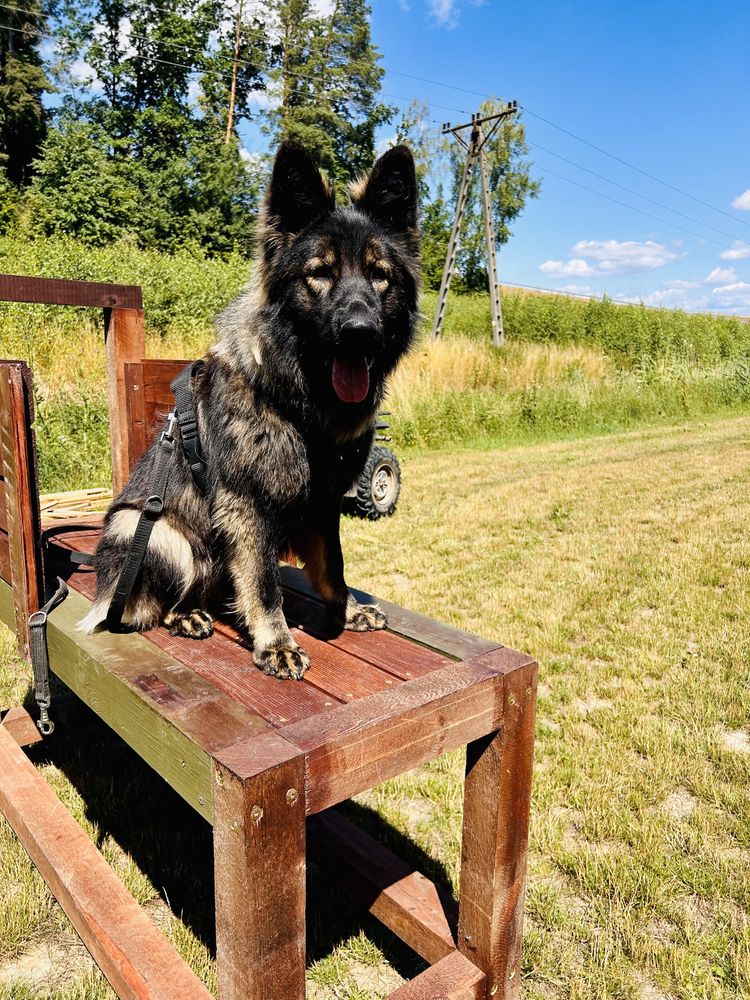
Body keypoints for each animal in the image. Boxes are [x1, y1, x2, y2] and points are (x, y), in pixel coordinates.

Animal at [83, 139, 424, 680]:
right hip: (155, 534)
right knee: (157, 604)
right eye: (320, 273)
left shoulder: (323, 502)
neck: (303, 411)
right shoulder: (247, 505)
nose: (361, 332)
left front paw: (347, 610)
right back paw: (187, 616)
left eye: (379, 276)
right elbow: (263, 582)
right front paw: (276, 643)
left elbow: (333, 566)